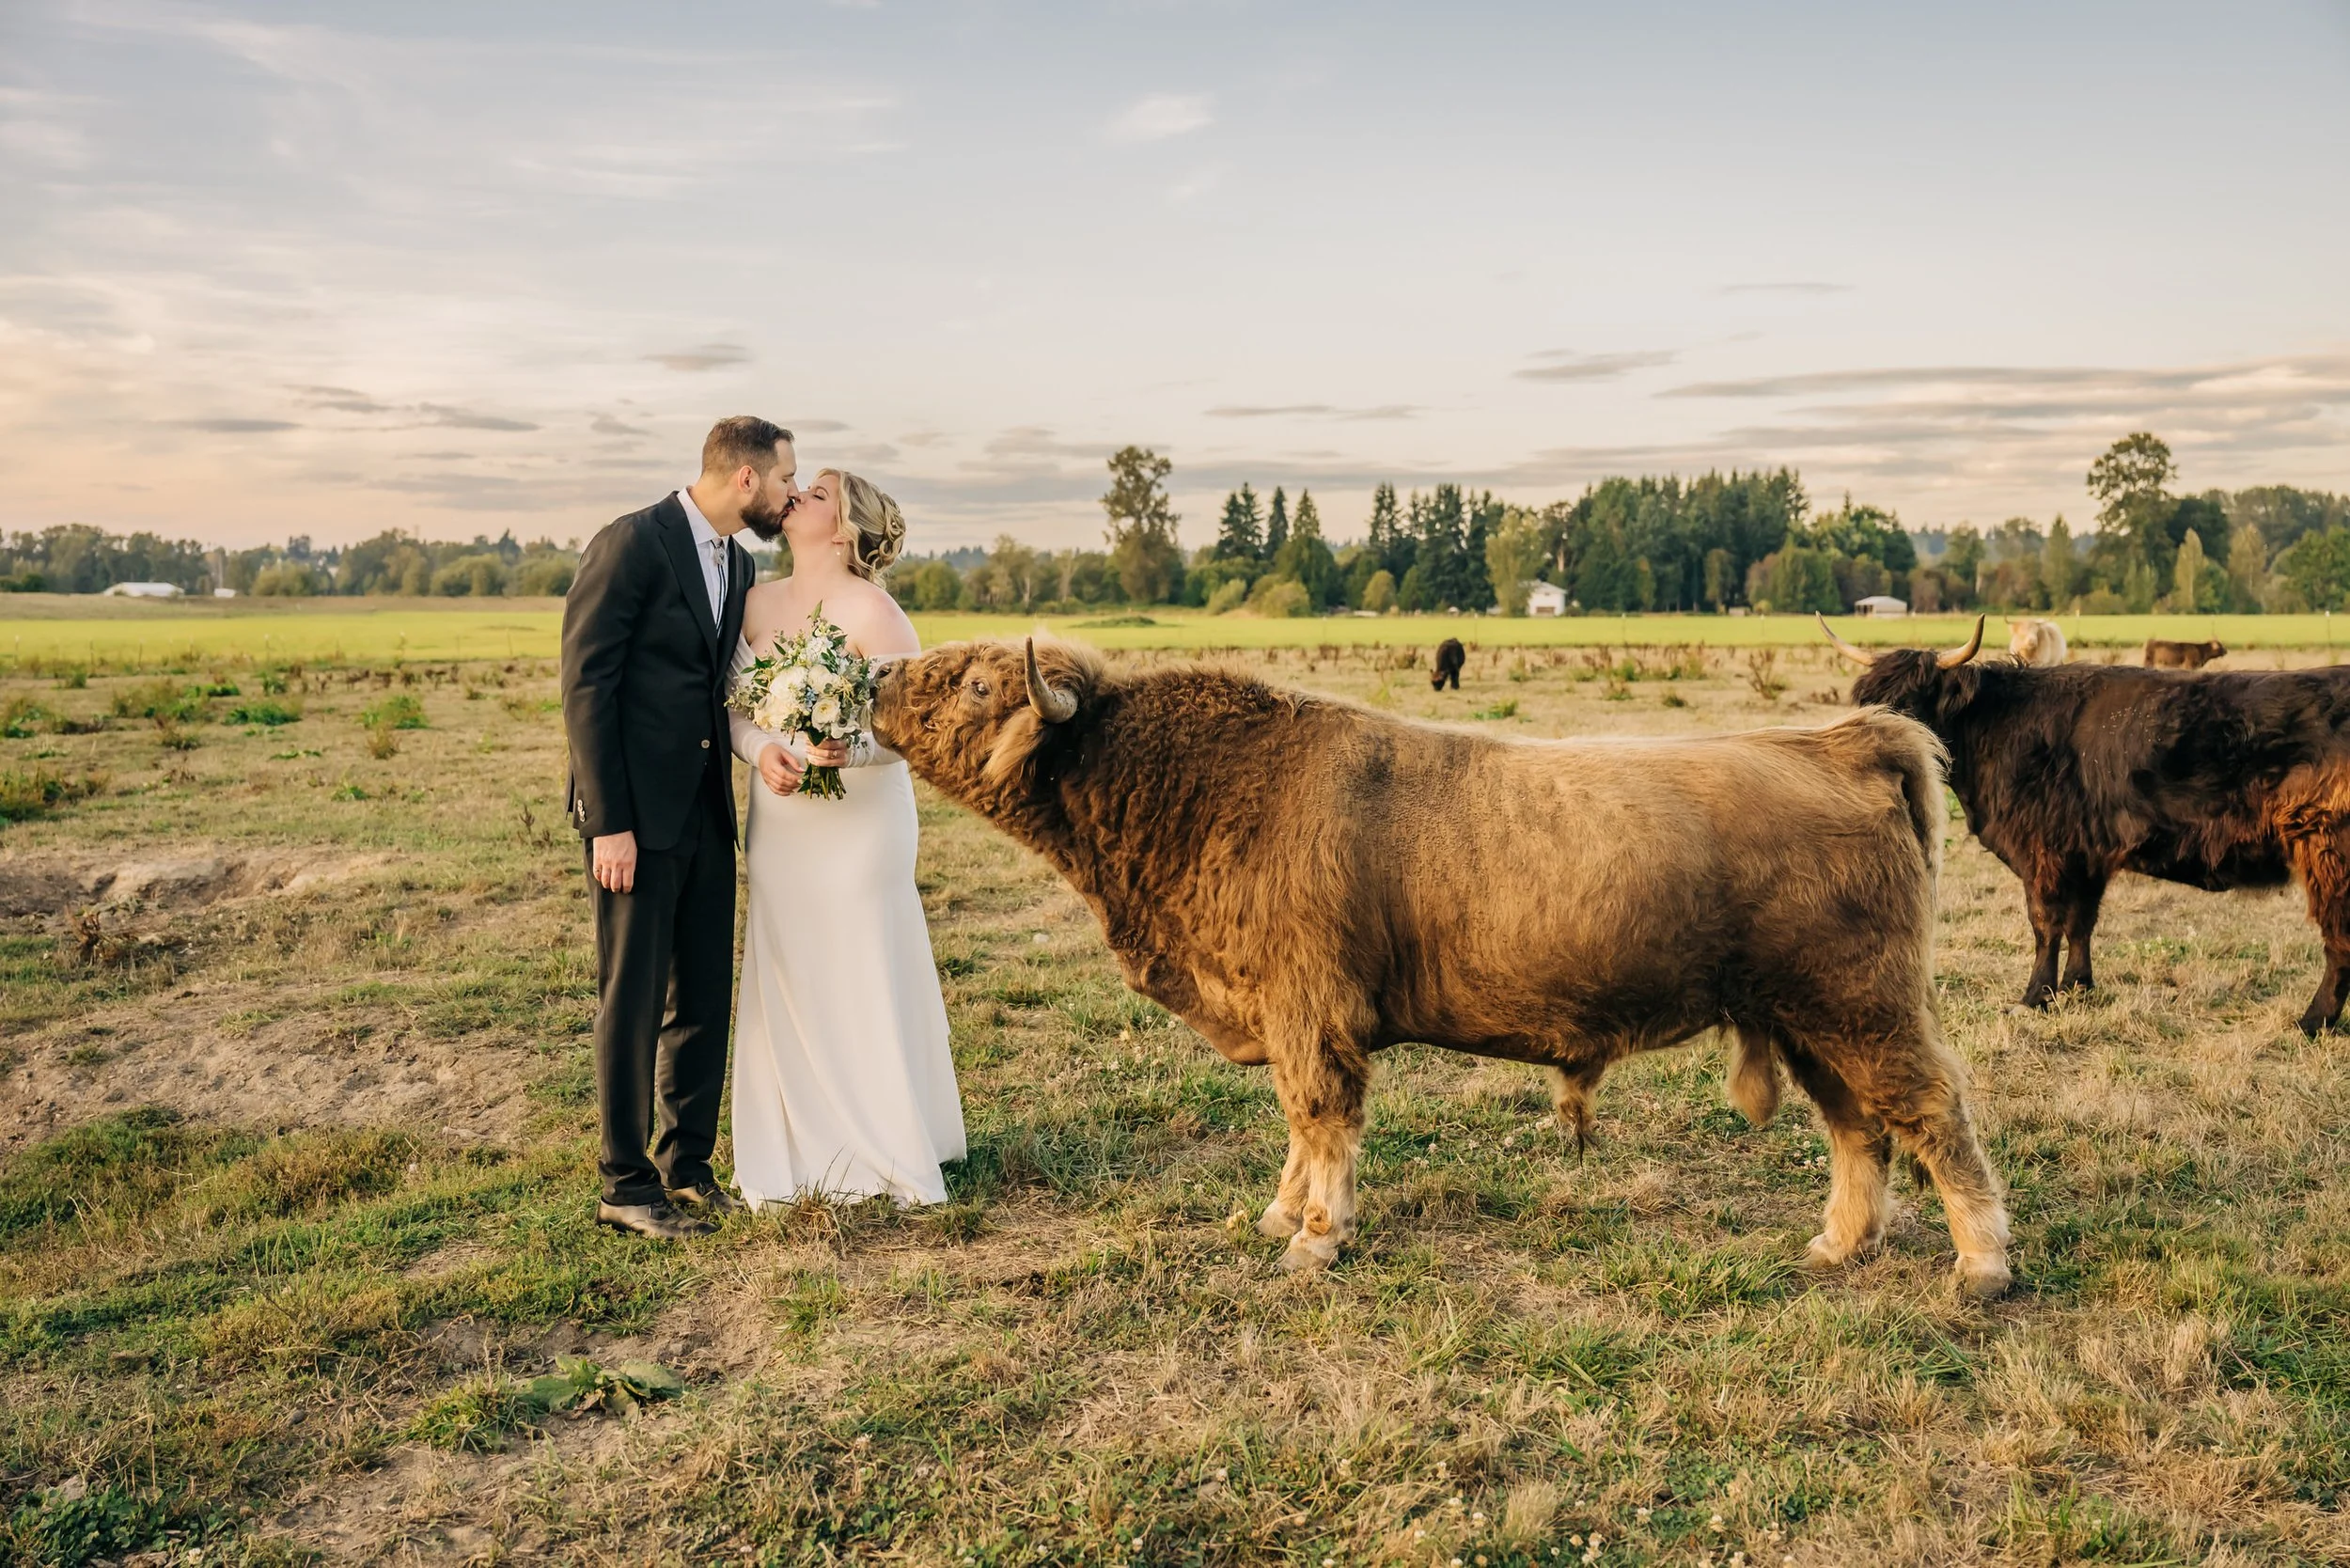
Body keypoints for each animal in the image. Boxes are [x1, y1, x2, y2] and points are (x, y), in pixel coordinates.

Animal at [872, 637, 2014, 1297]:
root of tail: (1844, 738)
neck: (1203, 790)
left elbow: (1320, 1121)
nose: (876, 675)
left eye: (975, 680)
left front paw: (1314, 1239)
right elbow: (1298, 1134)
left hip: (1865, 1007)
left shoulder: (1311, 1014)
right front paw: (1280, 1214)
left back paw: (1983, 1265)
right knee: (1859, 1132)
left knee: (1933, 1115)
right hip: (1812, 1021)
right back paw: (1838, 1246)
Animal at [1821, 613, 2350, 1034]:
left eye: (1912, 705)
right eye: (1866, 702)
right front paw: (2079, 986)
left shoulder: (2045, 852)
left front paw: (2035, 996)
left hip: (2328, 852)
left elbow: (2045, 923)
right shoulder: (2086, 851)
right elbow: (2081, 922)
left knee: (2338, 940)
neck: (1994, 732)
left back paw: (2312, 1022)